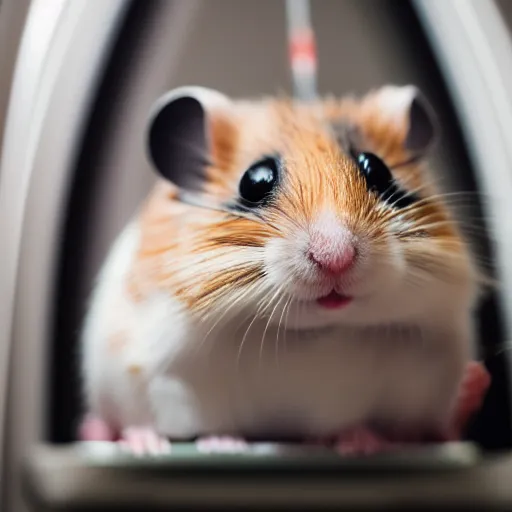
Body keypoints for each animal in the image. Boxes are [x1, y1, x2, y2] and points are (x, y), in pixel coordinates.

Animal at [79, 85, 488, 456]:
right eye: (254, 181)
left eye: (378, 171)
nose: (335, 256)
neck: (304, 333)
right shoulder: (159, 374)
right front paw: (220, 444)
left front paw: (358, 443)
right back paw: (142, 444)